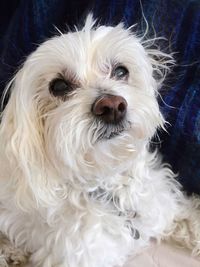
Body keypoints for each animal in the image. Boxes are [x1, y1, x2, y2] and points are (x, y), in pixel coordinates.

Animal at [0, 15, 200, 266]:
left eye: (121, 71)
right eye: (59, 86)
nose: (112, 106)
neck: (109, 189)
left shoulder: (163, 205)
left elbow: (190, 217)